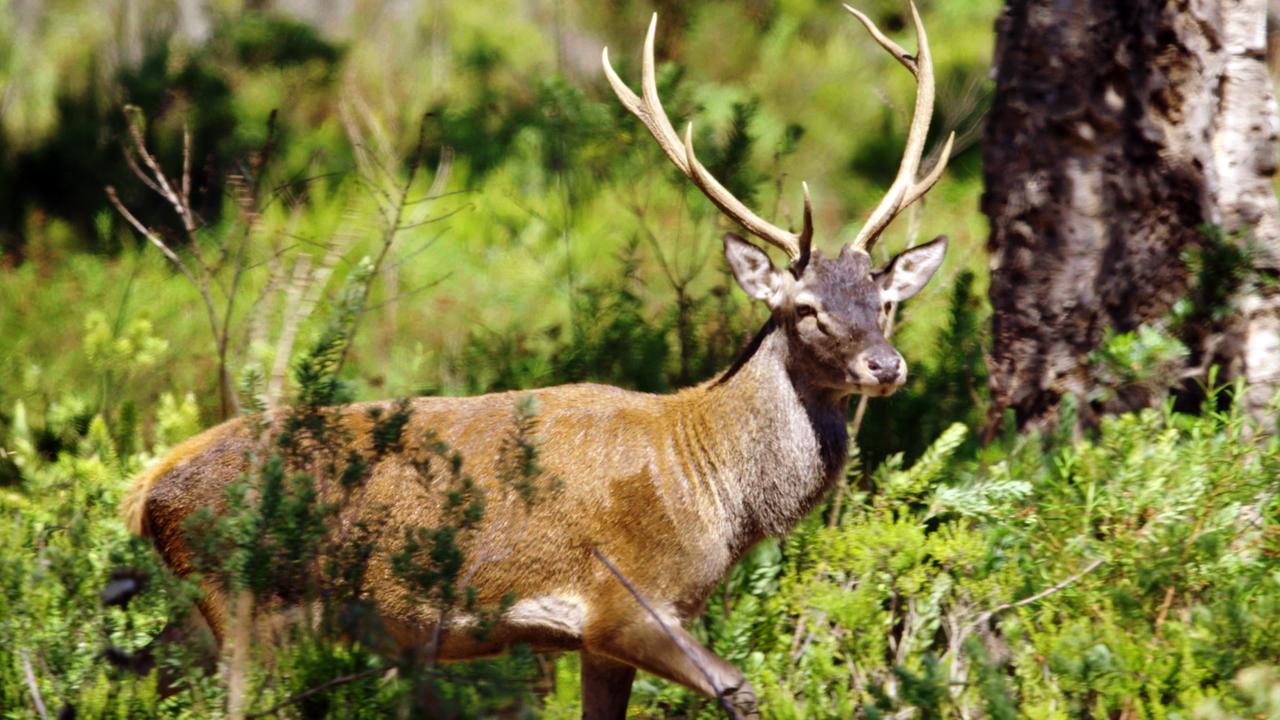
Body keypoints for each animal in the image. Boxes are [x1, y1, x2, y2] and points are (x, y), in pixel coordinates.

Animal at [122, 3, 953, 718]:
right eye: (805, 308)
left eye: (883, 300)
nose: (887, 367)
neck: (710, 490)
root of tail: (147, 489)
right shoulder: (626, 602)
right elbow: (739, 689)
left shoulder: (599, 640)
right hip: (242, 601)